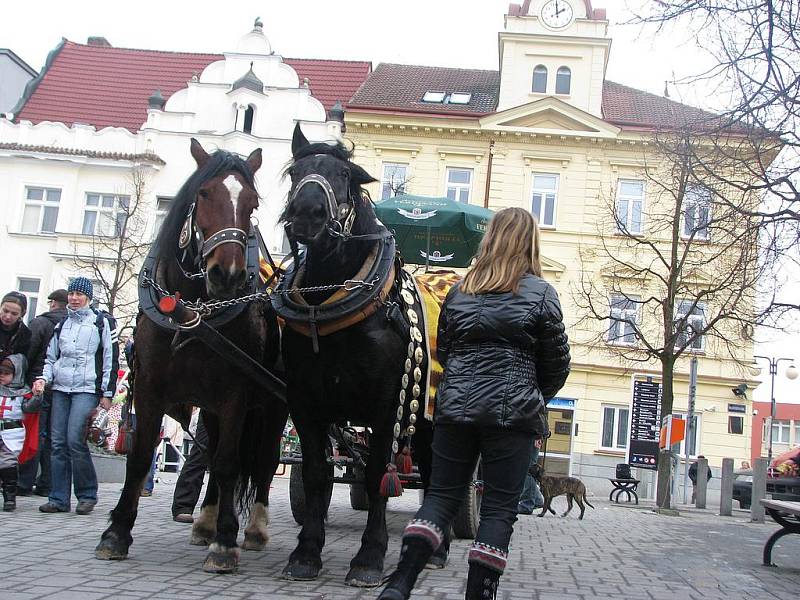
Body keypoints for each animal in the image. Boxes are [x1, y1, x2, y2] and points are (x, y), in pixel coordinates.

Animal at [95, 139, 288, 572]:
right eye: (203, 193)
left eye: (251, 202)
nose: (227, 275)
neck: (195, 312)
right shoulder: (149, 390)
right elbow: (141, 457)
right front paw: (116, 532)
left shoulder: (235, 395)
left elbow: (232, 461)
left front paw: (226, 543)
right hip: (211, 409)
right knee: (213, 457)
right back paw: (206, 521)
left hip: (273, 407)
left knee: (263, 462)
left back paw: (254, 529)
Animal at [270, 124, 444, 588]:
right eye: (295, 172)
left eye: (345, 176)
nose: (307, 213)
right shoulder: (307, 404)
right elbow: (316, 473)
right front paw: (306, 552)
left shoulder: (387, 407)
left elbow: (378, 472)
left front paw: (369, 558)